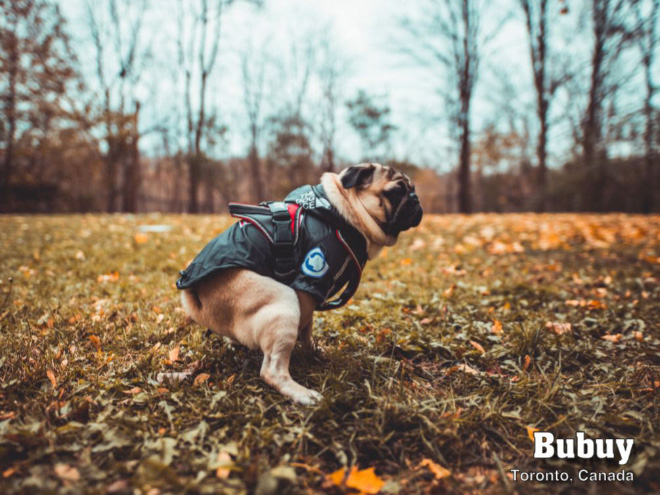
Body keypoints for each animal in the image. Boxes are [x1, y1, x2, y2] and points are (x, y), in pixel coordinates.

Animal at [178, 165, 422, 404]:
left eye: (412, 189)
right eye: (396, 192)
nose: (415, 199)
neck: (340, 210)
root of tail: (195, 297)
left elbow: (308, 329)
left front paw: (313, 351)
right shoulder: (309, 281)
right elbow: (304, 326)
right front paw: (305, 354)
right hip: (284, 303)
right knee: (272, 371)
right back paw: (304, 395)